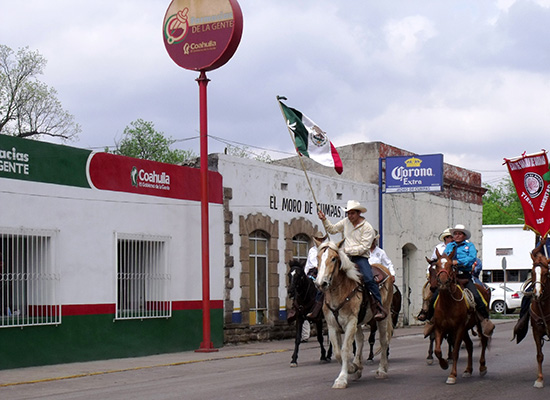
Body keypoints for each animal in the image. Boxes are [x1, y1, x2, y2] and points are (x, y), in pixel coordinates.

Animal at [314, 239, 396, 390]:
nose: (321, 283)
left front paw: (342, 379)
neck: (340, 291)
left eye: (333, 258)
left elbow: (345, 349)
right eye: (318, 258)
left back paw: (382, 370)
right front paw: (353, 368)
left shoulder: (350, 322)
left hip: (383, 316)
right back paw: (358, 368)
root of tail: (384, 268)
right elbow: (338, 352)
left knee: (383, 340)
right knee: (360, 340)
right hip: (359, 322)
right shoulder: (332, 326)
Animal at [432, 250, 492, 384]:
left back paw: (482, 367)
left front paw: (452, 375)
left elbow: (455, 352)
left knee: (483, 341)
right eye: (436, 265)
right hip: (465, 329)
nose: (443, 282)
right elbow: (437, 351)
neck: (447, 303)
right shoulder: (440, 328)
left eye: (451, 265)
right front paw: (444, 364)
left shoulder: (458, 328)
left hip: (478, 324)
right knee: (469, 345)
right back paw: (468, 370)